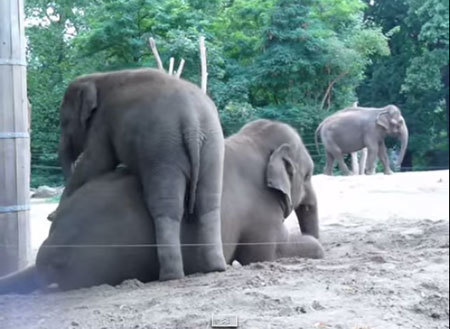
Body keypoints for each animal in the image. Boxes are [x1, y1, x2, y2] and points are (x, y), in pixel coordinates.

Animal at [52, 68, 227, 280]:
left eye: (63, 122)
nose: (51, 215)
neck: (98, 77)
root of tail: (192, 121)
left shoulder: (103, 121)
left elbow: (96, 162)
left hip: (163, 149)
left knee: (166, 206)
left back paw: (170, 276)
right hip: (212, 146)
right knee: (209, 203)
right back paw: (215, 267)